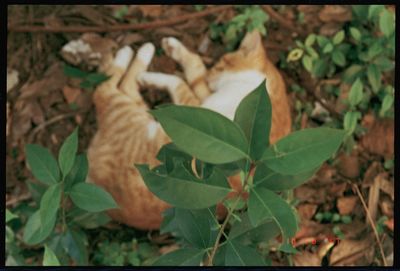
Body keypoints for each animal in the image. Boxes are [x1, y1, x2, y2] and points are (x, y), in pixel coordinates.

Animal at [83, 30, 290, 231]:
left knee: (106, 87)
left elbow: (180, 80)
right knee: (126, 86)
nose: (210, 74)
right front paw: (174, 48)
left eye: (220, 66)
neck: (264, 92)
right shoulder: (203, 98)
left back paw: (133, 54)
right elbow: (195, 67)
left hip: (122, 109)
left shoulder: (197, 109)